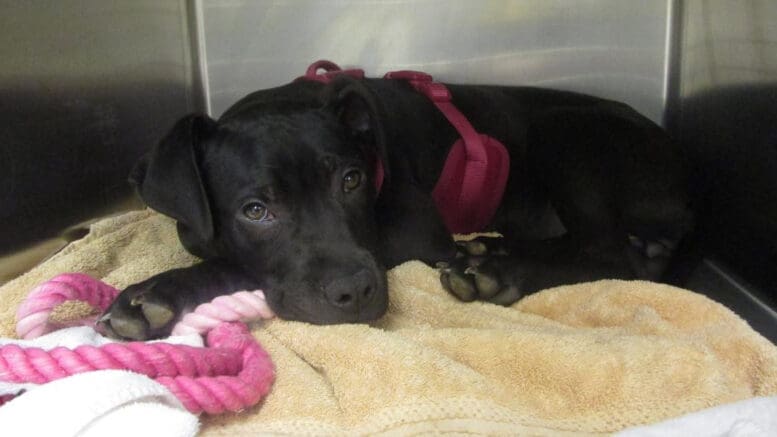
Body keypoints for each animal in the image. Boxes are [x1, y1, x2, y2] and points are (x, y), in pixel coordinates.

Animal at [98, 73, 692, 338]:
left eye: (353, 179)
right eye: (255, 210)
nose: (354, 294)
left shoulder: (411, 234)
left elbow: (231, 265)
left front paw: (153, 293)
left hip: (564, 129)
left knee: (612, 254)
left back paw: (497, 272)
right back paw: (486, 251)